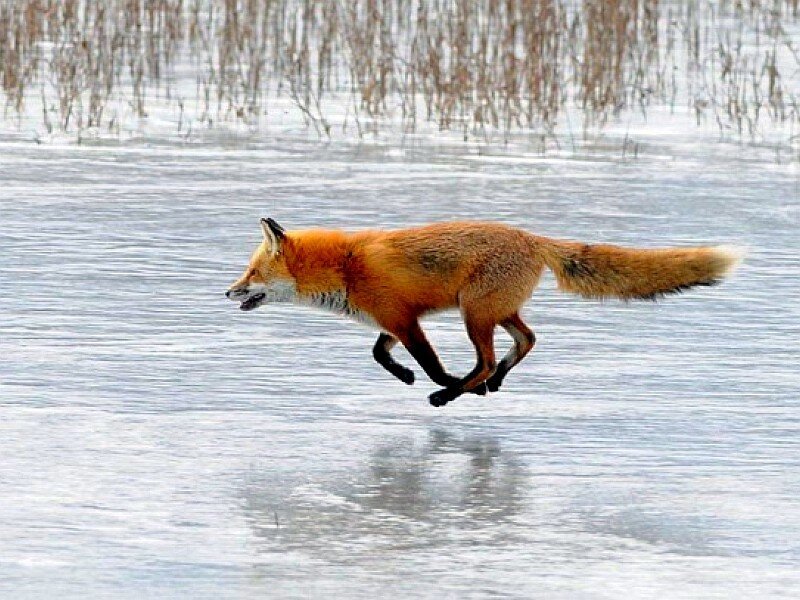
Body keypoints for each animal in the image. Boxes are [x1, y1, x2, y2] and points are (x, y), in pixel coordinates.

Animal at [226, 218, 741, 407]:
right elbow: (378, 354)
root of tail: (533, 238)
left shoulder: (405, 320)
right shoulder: (393, 320)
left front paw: (434, 383)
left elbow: (429, 363)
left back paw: (454, 395)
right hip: (494, 311)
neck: (346, 267)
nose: (228, 292)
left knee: (488, 359)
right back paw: (490, 385)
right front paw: (405, 376)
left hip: (473, 314)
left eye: (251, 272)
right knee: (526, 341)